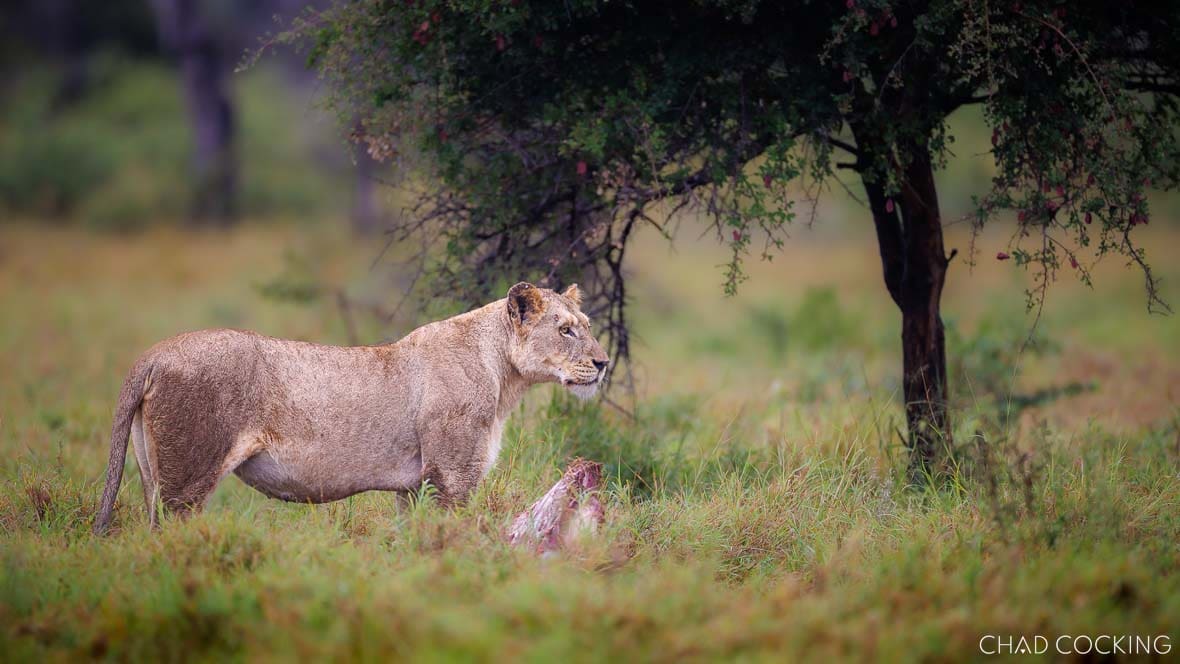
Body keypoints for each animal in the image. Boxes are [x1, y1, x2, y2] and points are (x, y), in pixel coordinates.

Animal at [92, 282, 608, 534]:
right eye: (565, 329)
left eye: (586, 324)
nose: (604, 363)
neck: (504, 376)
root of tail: (153, 354)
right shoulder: (453, 477)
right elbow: (453, 538)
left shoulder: (415, 486)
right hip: (187, 480)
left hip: (152, 475)